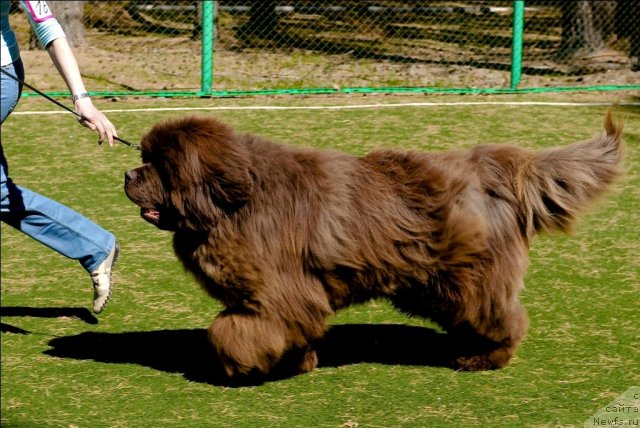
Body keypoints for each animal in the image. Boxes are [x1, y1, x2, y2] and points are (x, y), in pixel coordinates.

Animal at [122, 112, 624, 380]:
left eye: (158, 166)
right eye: (143, 158)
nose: (127, 174)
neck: (234, 202)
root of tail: (496, 167)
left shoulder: (276, 295)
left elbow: (232, 333)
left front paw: (242, 366)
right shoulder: (281, 298)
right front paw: (298, 362)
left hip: (468, 278)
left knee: (501, 317)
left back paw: (483, 357)